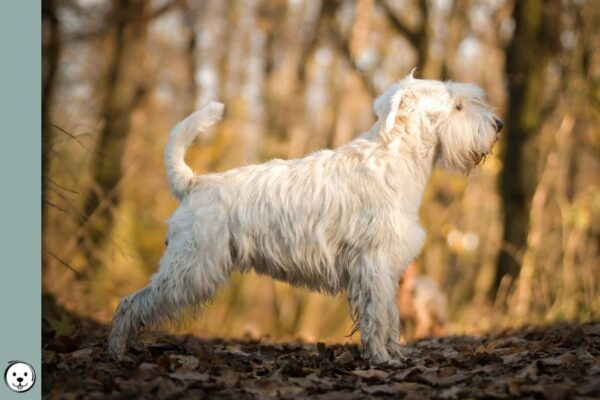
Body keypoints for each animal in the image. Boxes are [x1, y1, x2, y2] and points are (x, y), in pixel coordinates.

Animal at [108, 76, 502, 366]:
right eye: (458, 106)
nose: (498, 124)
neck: (395, 160)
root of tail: (194, 183)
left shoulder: (386, 268)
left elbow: (388, 314)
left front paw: (393, 353)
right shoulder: (373, 262)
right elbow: (378, 315)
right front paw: (382, 359)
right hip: (192, 265)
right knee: (131, 303)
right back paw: (115, 352)